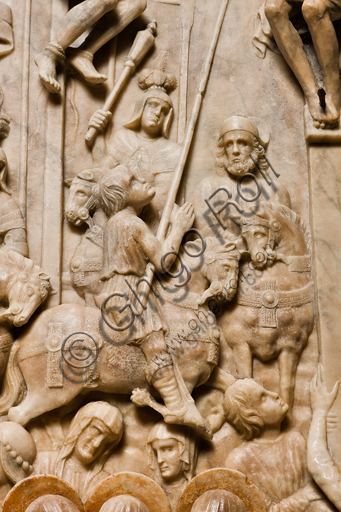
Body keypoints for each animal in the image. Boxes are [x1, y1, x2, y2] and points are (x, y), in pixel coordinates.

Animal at [218, 200, 314, 408]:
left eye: (259, 233)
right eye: (244, 235)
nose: (257, 259)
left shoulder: (292, 346)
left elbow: (286, 386)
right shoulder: (240, 344)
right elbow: (246, 380)